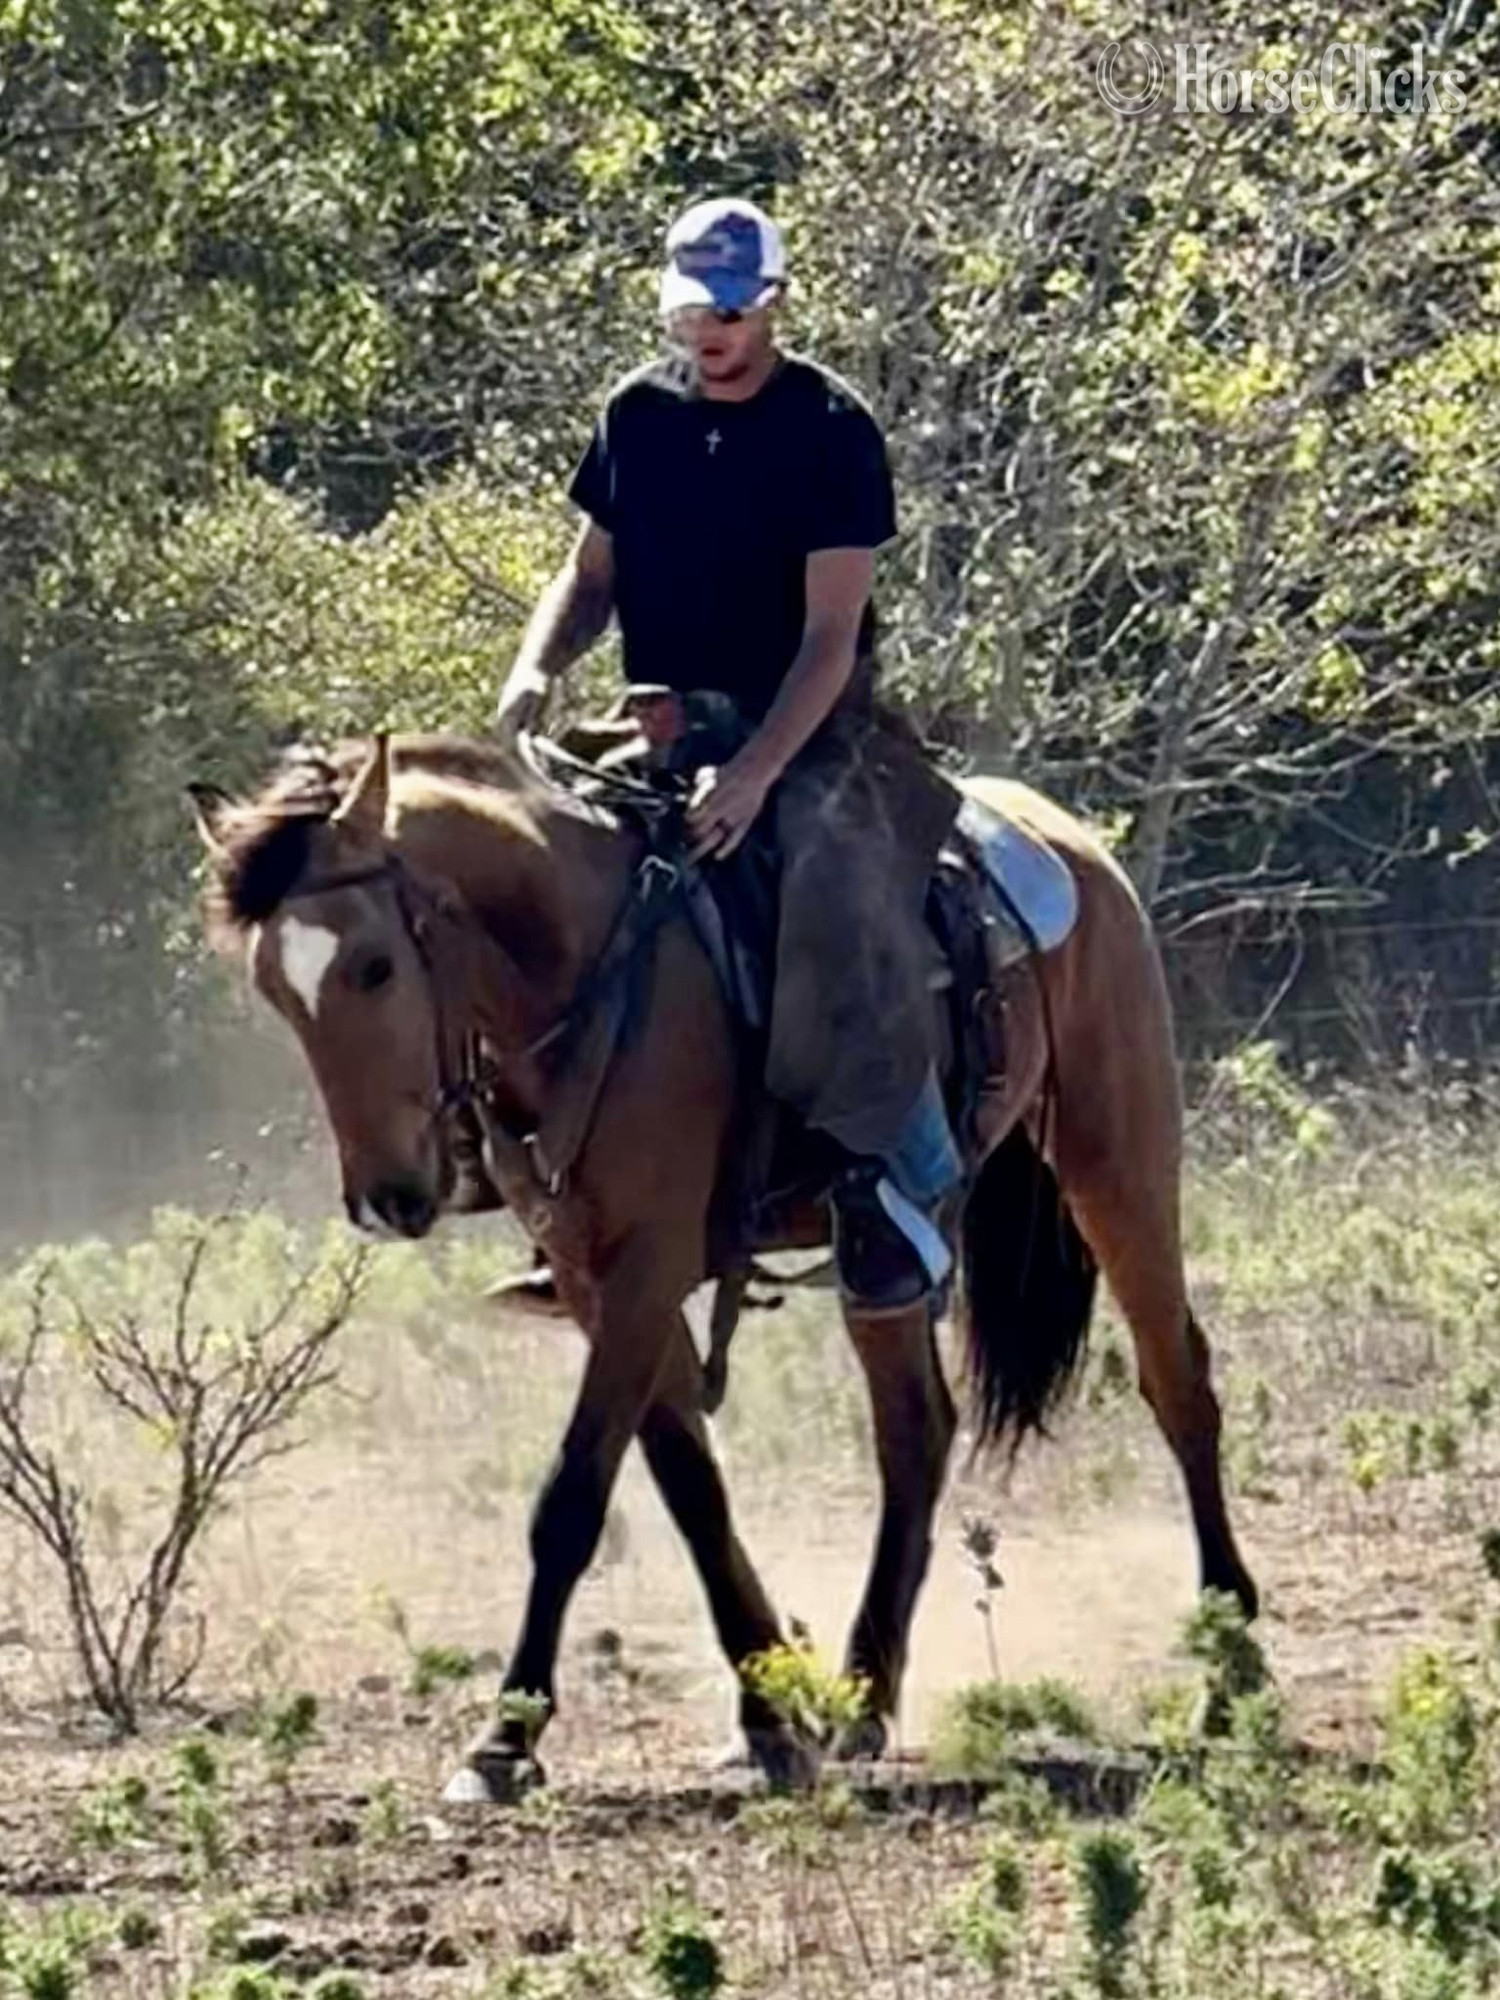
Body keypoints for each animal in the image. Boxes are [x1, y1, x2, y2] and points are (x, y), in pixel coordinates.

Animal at [189, 730, 1256, 1797]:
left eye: (374, 967)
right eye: (275, 991)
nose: (387, 1199)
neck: (593, 971)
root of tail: (1067, 843)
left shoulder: (644, 1268)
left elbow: (572, 1497)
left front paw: (506, 1736)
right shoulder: (596, 1277)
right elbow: (692, 1490)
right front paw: (771, 1713)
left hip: (1118, 1166)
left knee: (1177, 1386)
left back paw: (1231, 1666)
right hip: (887, 1259)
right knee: (916, 1432)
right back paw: (864, 1697)